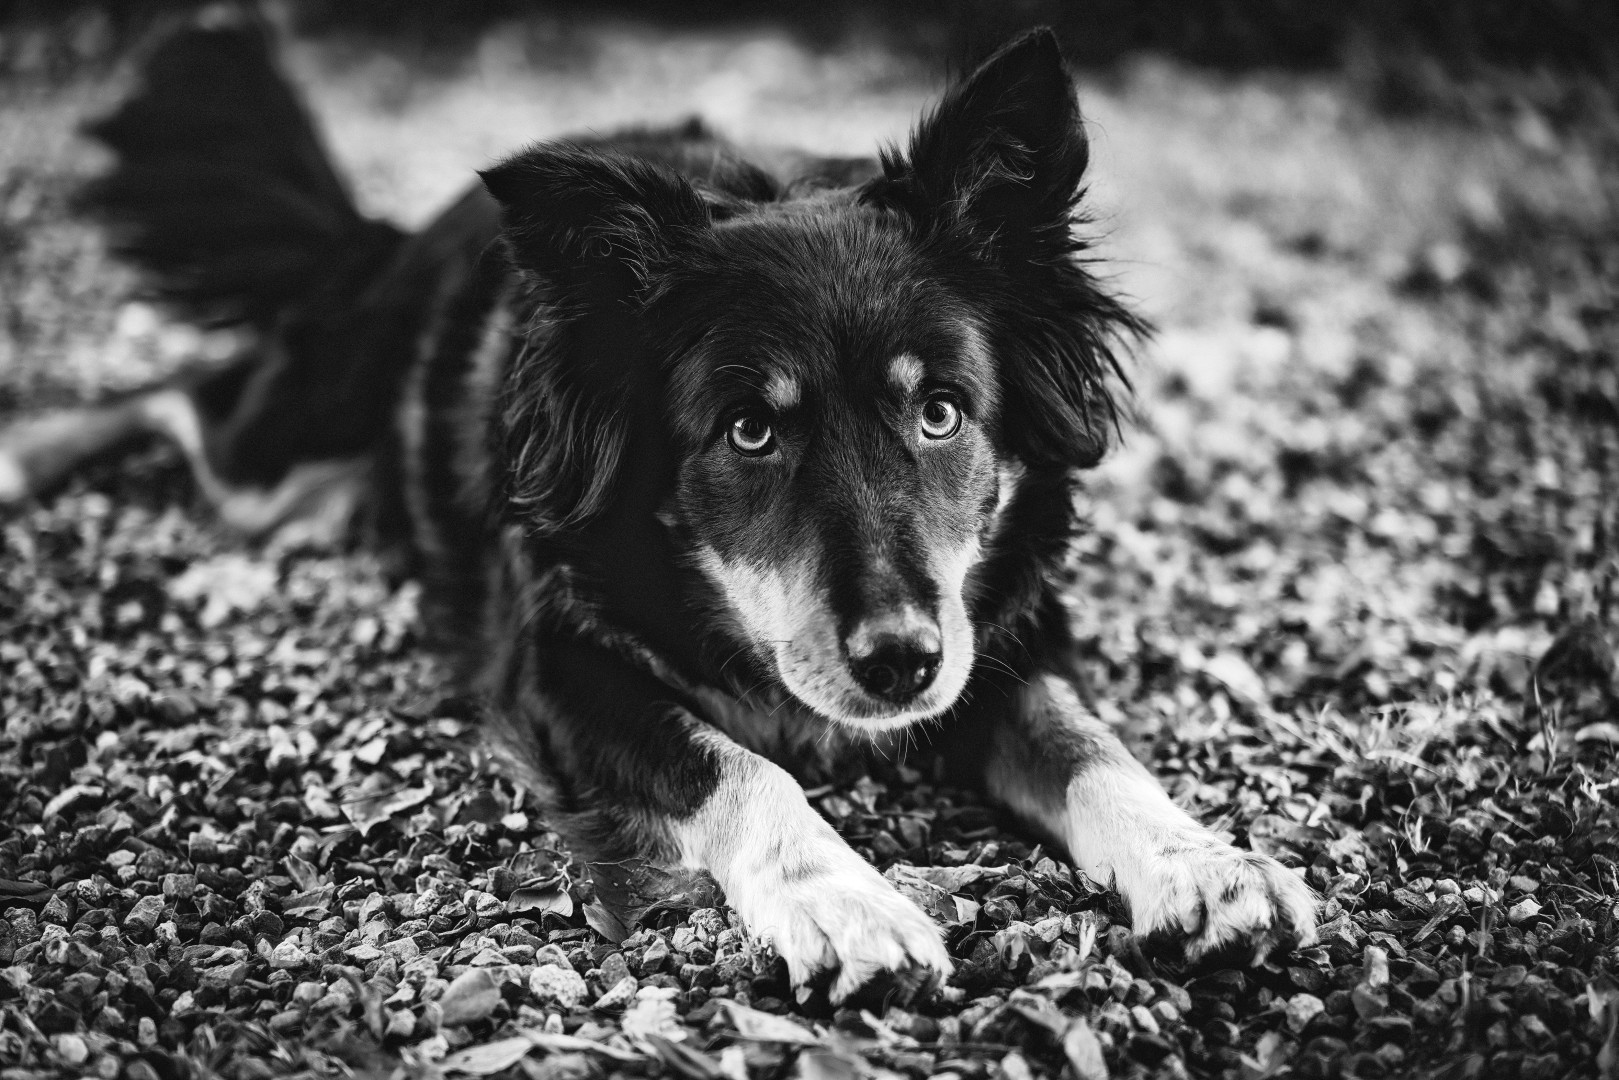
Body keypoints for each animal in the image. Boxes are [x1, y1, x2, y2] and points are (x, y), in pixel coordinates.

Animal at [0, 12, 1314, 1003]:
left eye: (940, 412)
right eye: (750, 431)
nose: (899, 663)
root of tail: (394, 238)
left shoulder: (996, 634)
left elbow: (1088, 742)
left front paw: (1200, 862)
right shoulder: (563, 666)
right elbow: (737, 767)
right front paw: (842, 900)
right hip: (280, 442)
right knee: (182, 392)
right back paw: (27, 455)